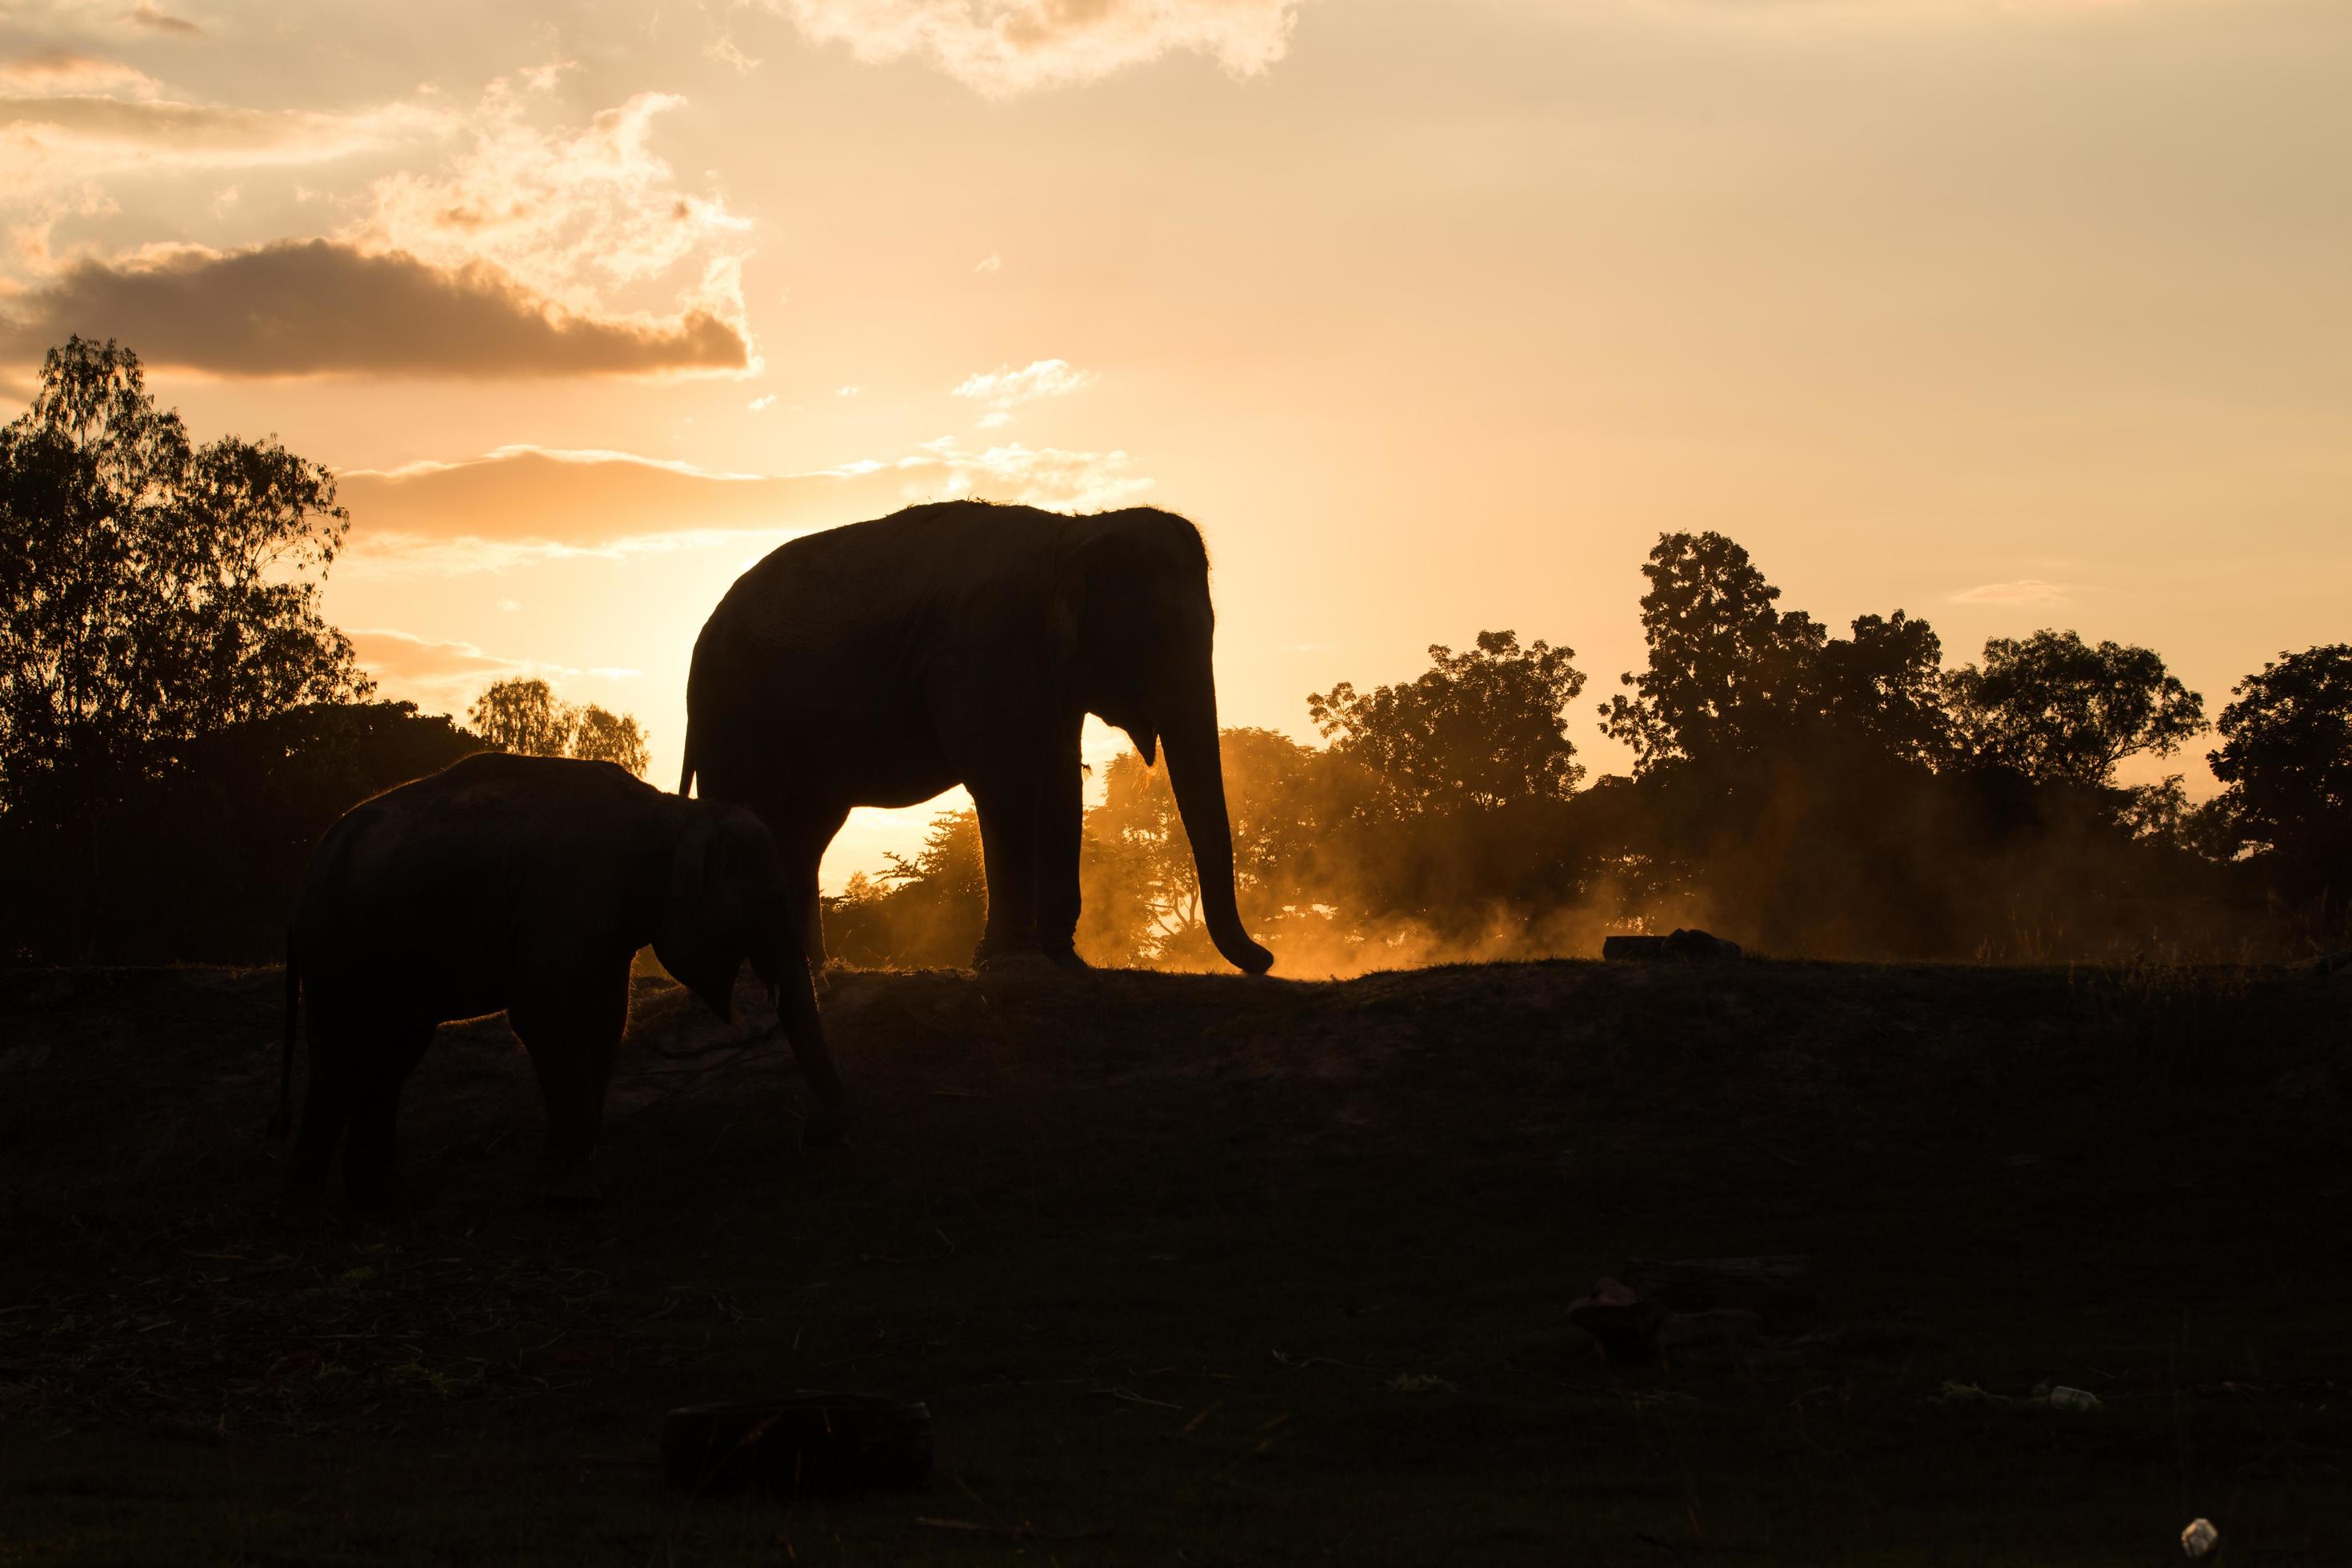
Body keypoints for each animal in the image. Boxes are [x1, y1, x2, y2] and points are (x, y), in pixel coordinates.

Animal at [274, 752, 846, 1222]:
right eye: (764, 904)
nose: (815, 1132)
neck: (671, 812)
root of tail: (311, 866)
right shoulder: (572, 895)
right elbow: (544, 1014)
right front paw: (575, 1193)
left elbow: (607, 1018)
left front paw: (584, 1173)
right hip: (337, 946)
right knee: (345, 1053)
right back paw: (307, 1214)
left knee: (394, 1055)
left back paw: (382, 1201)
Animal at [682, 500, 1270, 968]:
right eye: (1155, 636)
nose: (1266, 959)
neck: (1071, 533)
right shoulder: (985, 648)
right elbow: (1007, 782)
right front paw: (1012, 963)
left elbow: (1062, 781)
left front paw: (1065, 963)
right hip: (729, 710)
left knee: (808, 833)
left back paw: (808, 968)